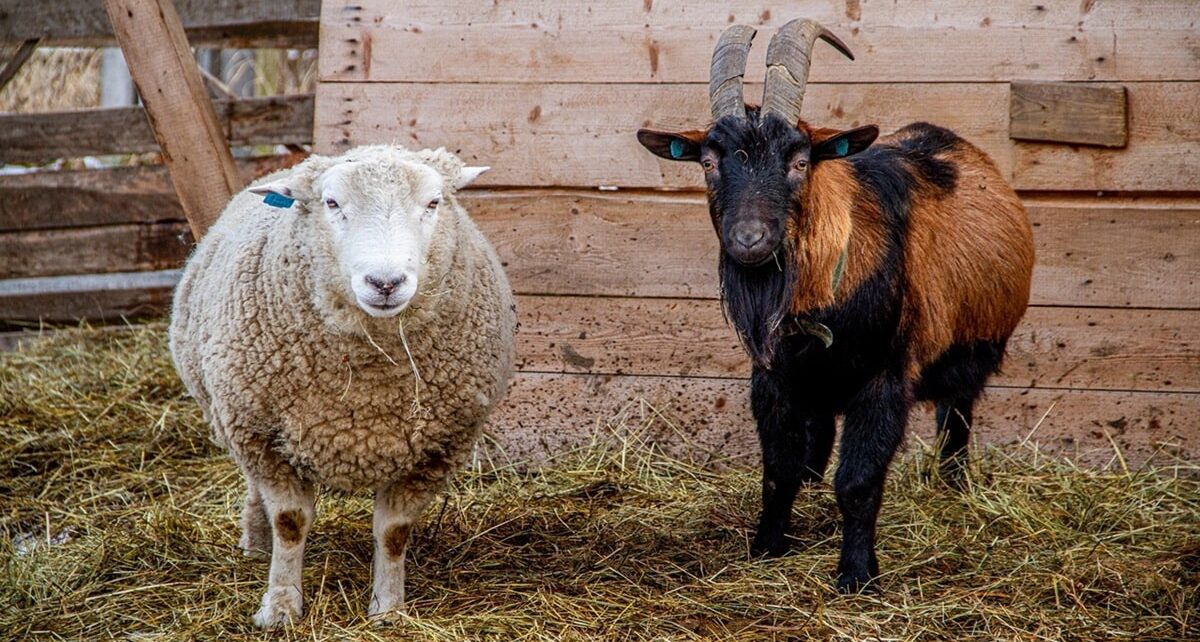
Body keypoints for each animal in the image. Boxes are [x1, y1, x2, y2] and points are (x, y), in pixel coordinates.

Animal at [168, 145, 516, 627]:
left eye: (433, 203)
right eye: (332, 203)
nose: (385, 283)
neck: (367, 384)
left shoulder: (438, 450)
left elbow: (393, 533)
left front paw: (388, 610)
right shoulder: (262, 437)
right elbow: (290, 523)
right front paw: (280, 607)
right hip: (239, 420)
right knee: (255, 489)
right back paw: (256, 543)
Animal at [636, 19, 1034, 592]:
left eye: (800, 161)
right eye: (709, 163)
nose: (749, 240)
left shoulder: (886, 377)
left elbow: (858, 482)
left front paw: (856, 575)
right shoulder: (775, 377)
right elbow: (780, 471)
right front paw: (768, 547)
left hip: (972, 353)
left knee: (955, 419)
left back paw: (951, 487)